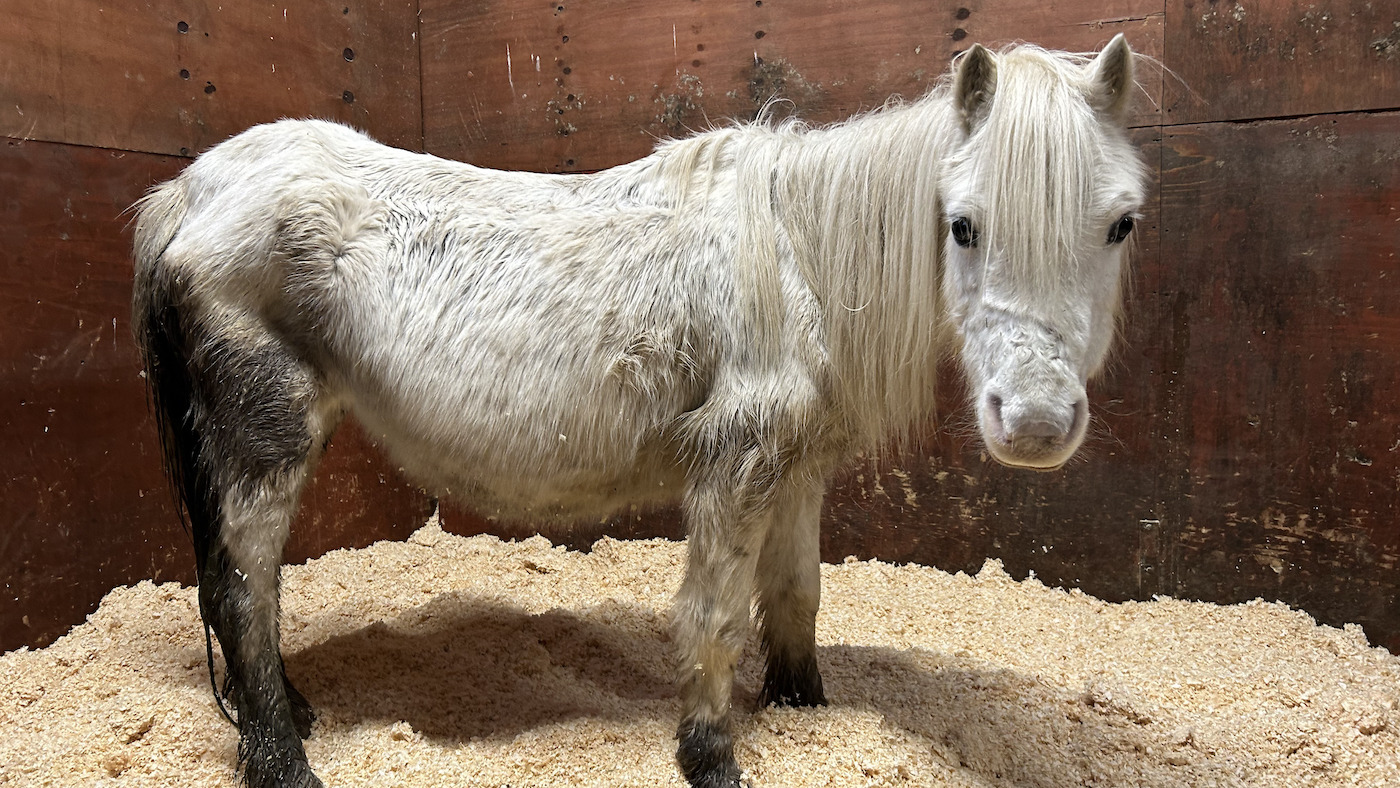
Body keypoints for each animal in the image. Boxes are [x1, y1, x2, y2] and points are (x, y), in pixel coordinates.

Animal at [131, 35, 1147, 788]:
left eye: (1121, 222)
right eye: (963, 223)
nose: (1036, 424)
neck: (799, 252)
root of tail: (194, 188)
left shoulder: (798, 469)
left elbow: (794, 597)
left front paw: (804, 707)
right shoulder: (738, 461)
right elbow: (714, 613)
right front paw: (710, 756)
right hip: (266, 431)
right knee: (243, 588)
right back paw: (281, 758)